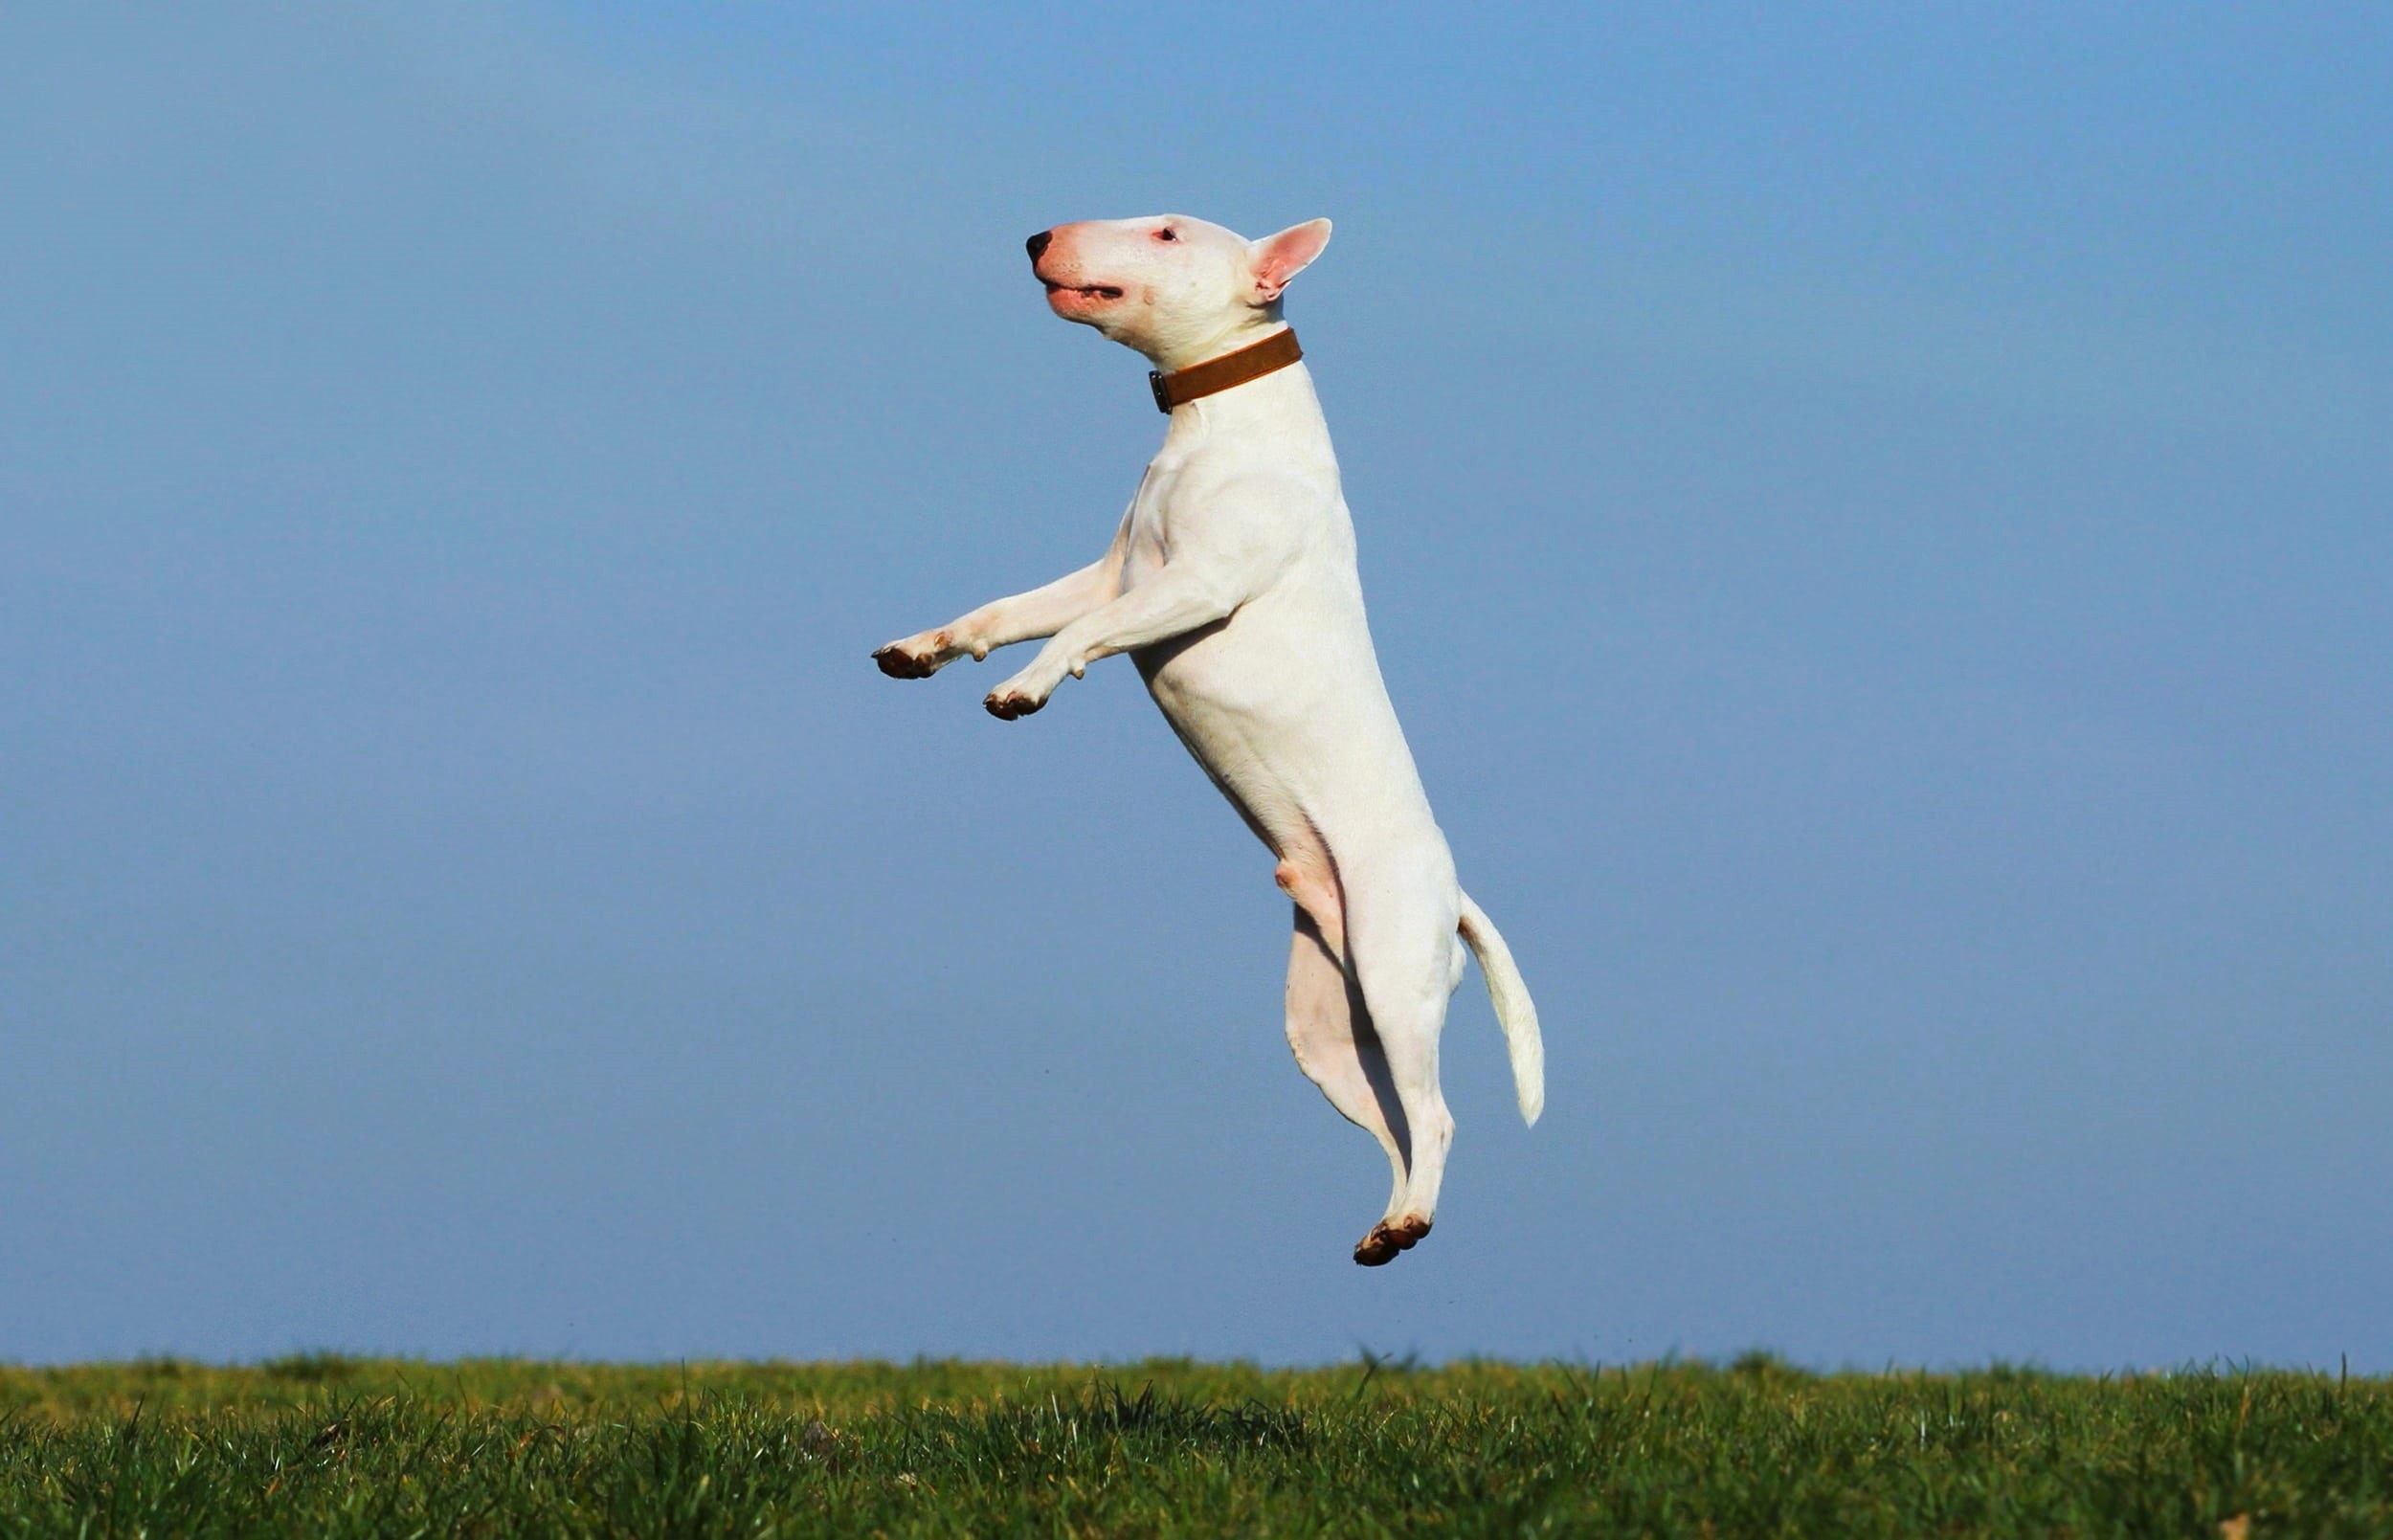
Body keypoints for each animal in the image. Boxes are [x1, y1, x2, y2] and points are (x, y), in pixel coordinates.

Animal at [876, 210, 1532, 1262]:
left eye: (1167, 231)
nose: (1037, 236)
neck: (1214, 423)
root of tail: (1455, 889)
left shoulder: (1194, 585)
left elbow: (1075, 636)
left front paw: (1024, 688)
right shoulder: (1111, 574)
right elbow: (1012, 609)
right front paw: (925, 647)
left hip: (1396, 973)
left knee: (1434, 1116)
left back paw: (1411, 1218)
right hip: (1327, 1029)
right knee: (1393, 1123)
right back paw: (1386, 1226)